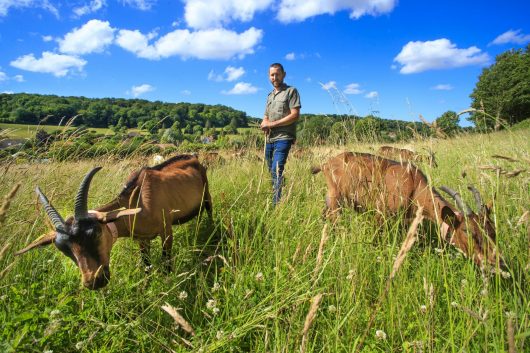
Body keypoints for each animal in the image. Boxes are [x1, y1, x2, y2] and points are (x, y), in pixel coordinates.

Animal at [16, 154, 210, 288]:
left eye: (95, 232)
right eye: (62, 248)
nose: (93, 282)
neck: (139, 201)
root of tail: (193, 157)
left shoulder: (166, 230)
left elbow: (166, 262)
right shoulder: (142, 238)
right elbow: (146, 265)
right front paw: (147, 287)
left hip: (207, 197)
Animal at [310, 150, 504, 268]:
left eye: (493, 232)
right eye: (468, 232)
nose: (496, 263)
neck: (414, 185)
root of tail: (326, 163)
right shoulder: (380, 215)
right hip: (335, 198)